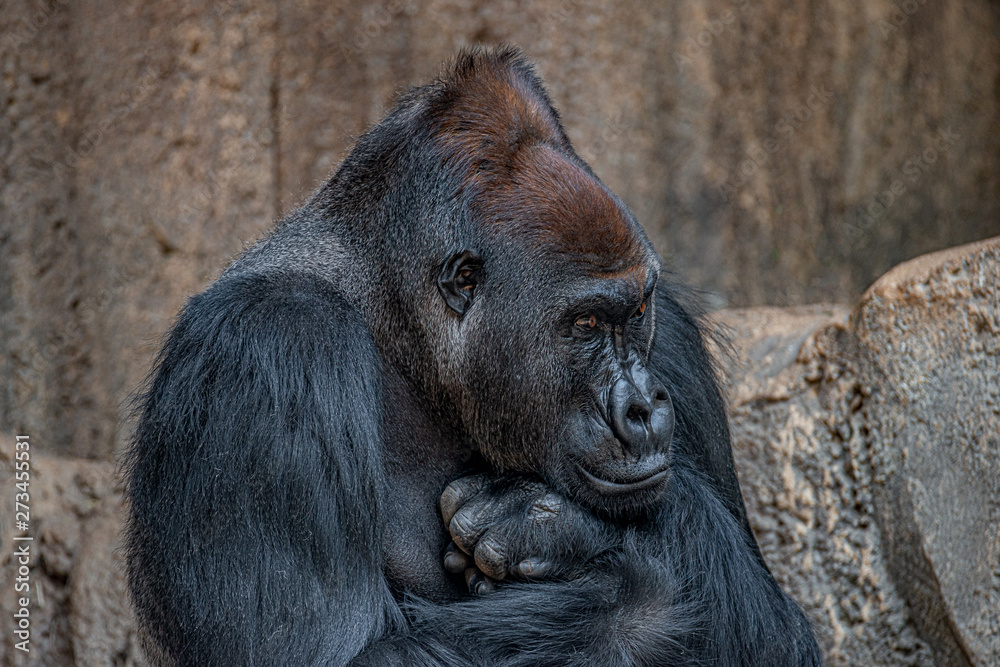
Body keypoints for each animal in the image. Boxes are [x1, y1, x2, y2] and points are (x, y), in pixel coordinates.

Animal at [123, 44, 820, 664]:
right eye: (585, 323)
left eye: (634, 315)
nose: (644, 407)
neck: (398, 326)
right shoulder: (268, 348)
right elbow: (338, 657)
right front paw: (611, 567)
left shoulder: (668, 332)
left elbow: (780, 639)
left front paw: (549, 524)